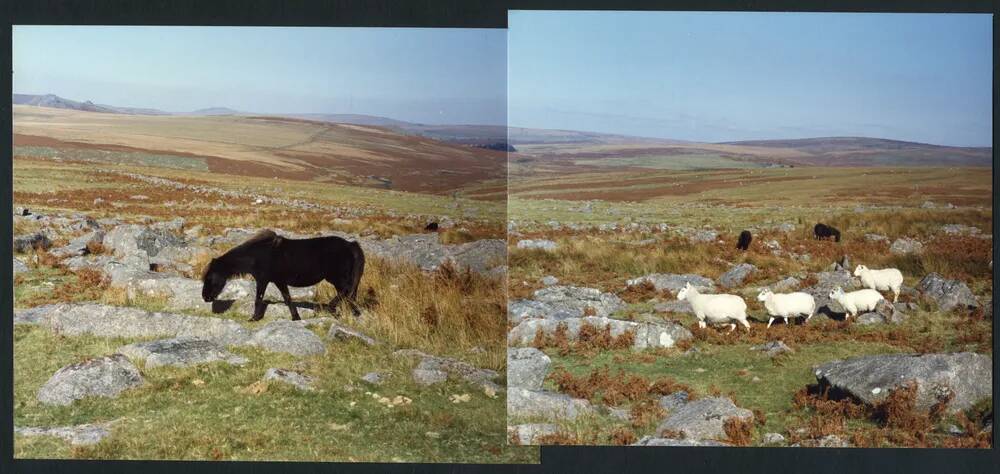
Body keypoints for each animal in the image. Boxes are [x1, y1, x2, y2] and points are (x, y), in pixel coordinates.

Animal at [201, 231, 366, 322]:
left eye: (210, 278)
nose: (205, 298)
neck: (257, 255)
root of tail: (351, 245)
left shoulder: (264, 280)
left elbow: (260, 299)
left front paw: (253, 318)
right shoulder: (277, 281)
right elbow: (287, 298)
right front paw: (295, 317)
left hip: (337, 278)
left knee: (346, 293)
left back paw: (330, 309)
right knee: (348, 294)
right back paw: (352, 313)